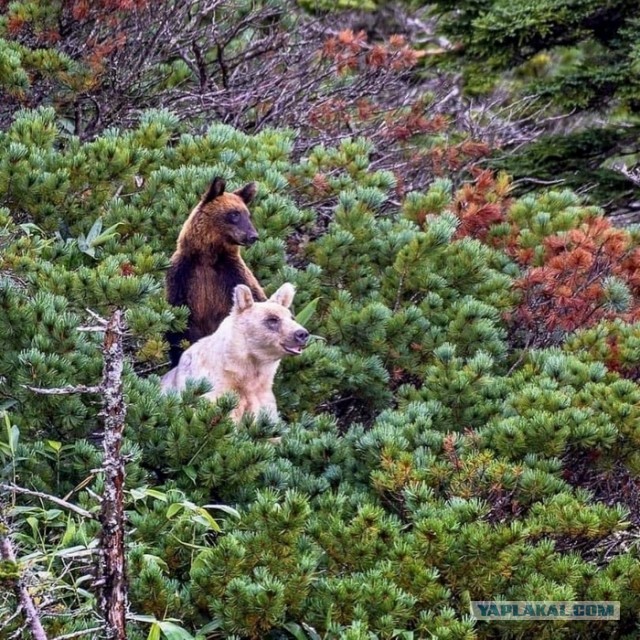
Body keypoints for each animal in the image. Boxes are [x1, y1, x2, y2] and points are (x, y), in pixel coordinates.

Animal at [166, 176, 266, 364]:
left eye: (247, 214)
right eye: (234, 214)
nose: (253, 236)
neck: (208, 257)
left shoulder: (231, 274)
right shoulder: (184, 275)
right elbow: (179, 321)